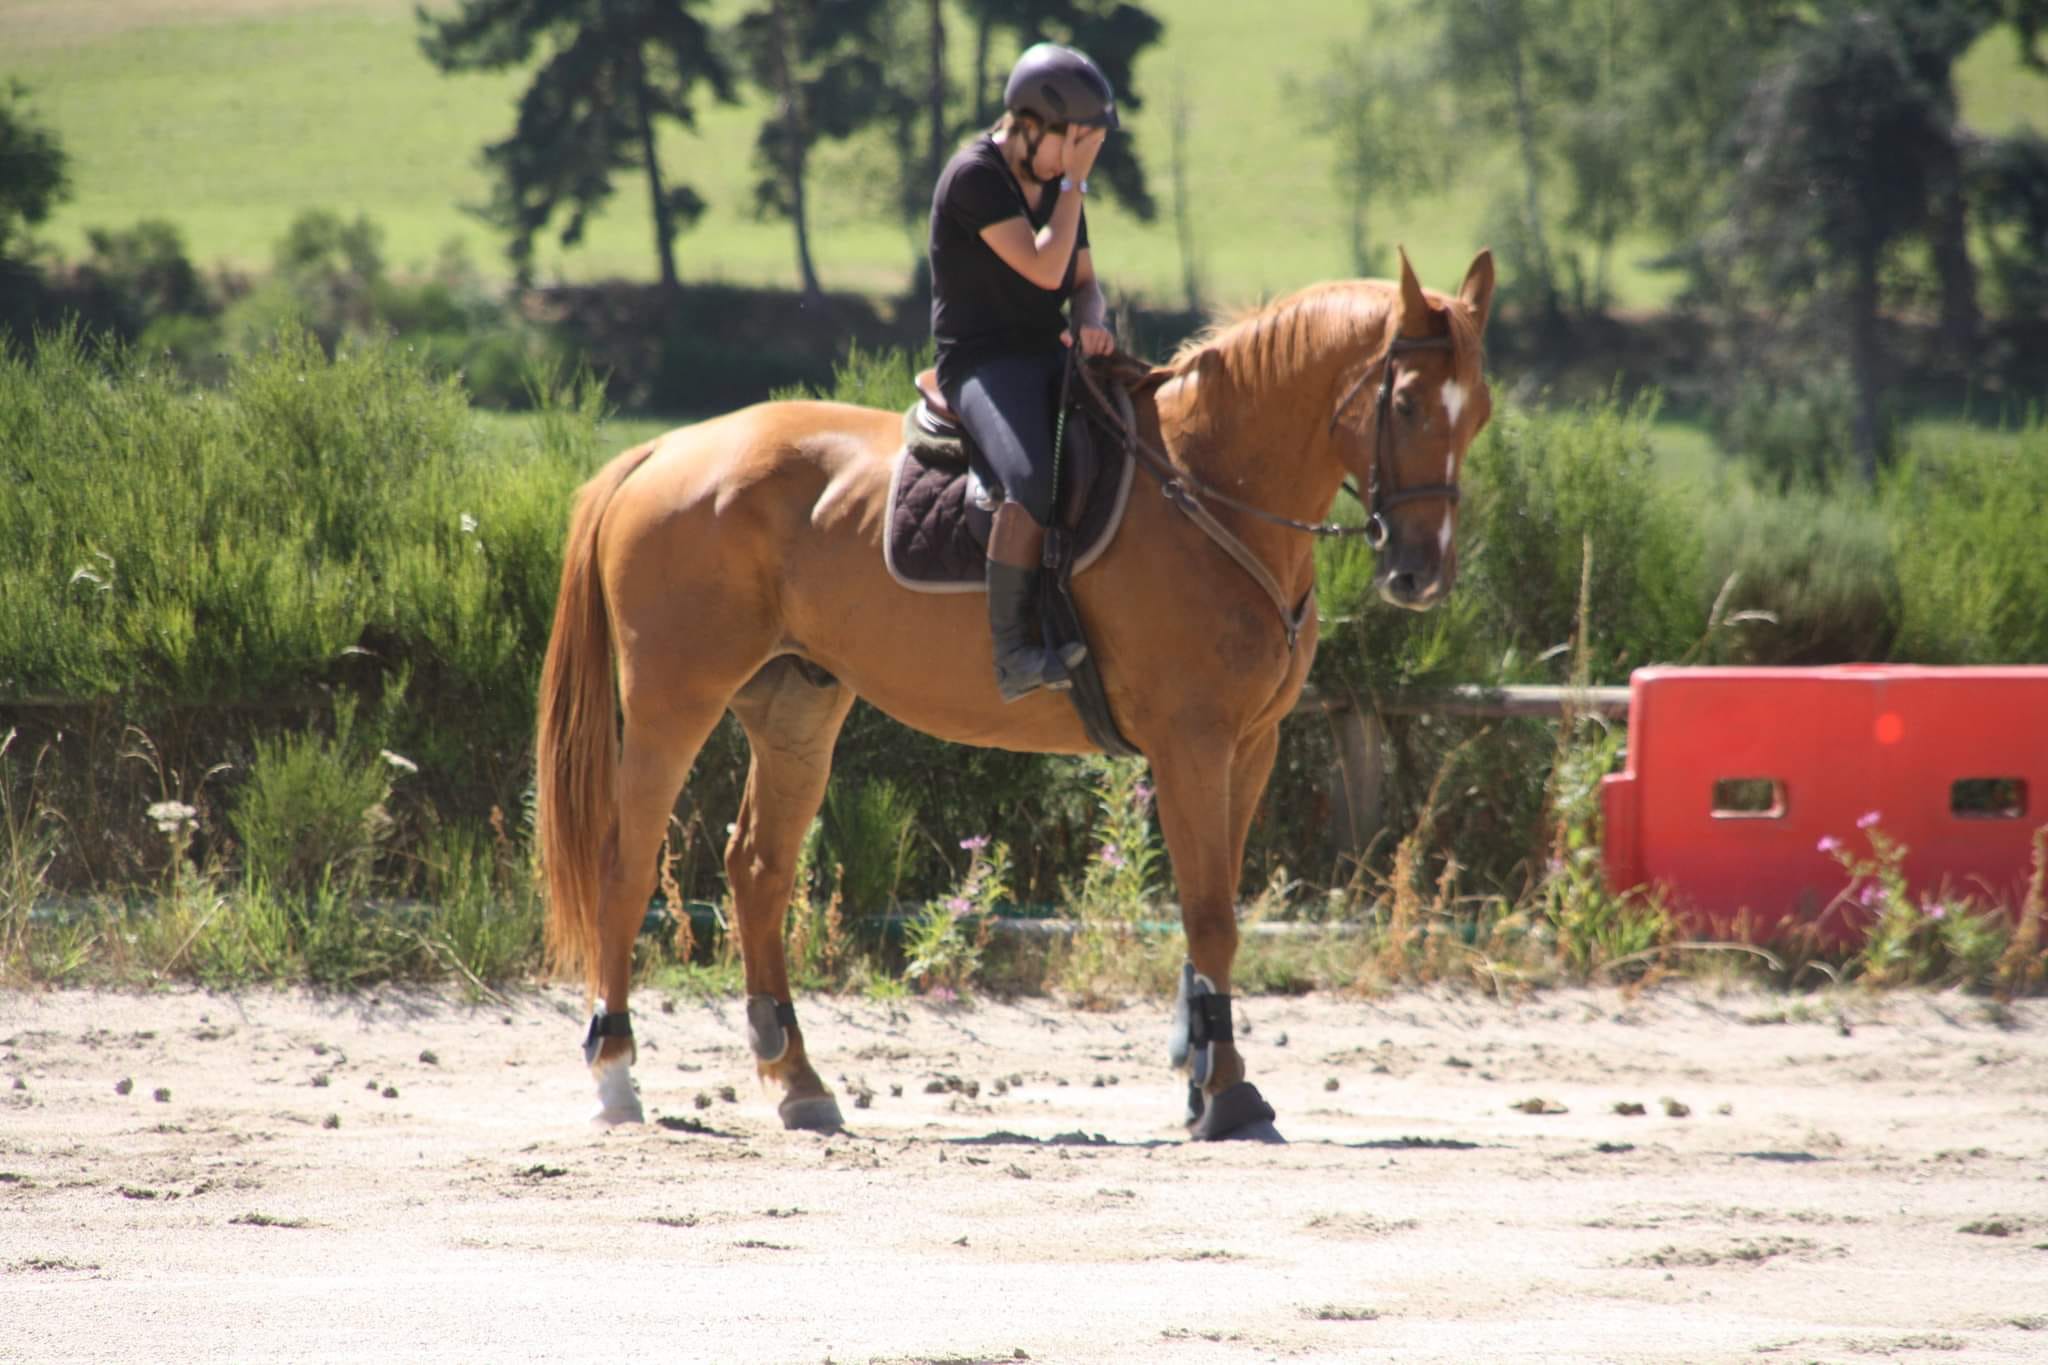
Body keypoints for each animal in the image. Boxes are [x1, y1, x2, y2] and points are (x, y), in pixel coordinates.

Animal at [535, 248, 1496, 1139]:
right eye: (1406, 405)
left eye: (1478, 412)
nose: (1421, 574)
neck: (1207, 487)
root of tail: (666, 449)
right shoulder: (1193, 743)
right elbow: (1211, 914)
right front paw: (1226, 1094)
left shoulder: (1250, 747)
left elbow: (1210, 913)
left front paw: (1204, 1075)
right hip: (672, 703)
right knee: (626, 865)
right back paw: (616, 1074)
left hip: (797, 707)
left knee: (759, 869)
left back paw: (798, 1081)